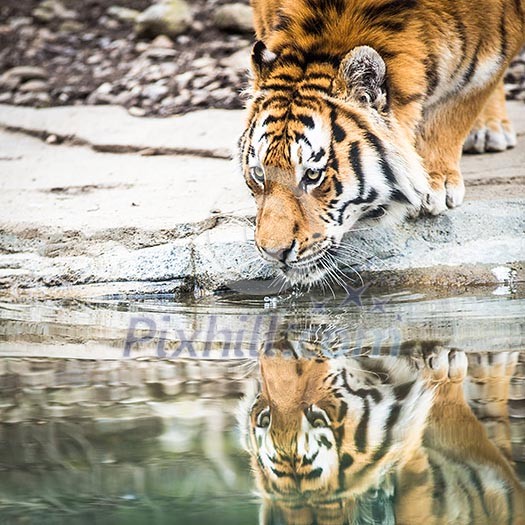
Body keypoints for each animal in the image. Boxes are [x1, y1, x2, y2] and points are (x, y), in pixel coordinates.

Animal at [237, 1, 524, 286]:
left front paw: (435, 184)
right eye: (259, 173)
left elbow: (453, 112)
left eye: (313, 175)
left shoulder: (489, 61)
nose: (274, 253)